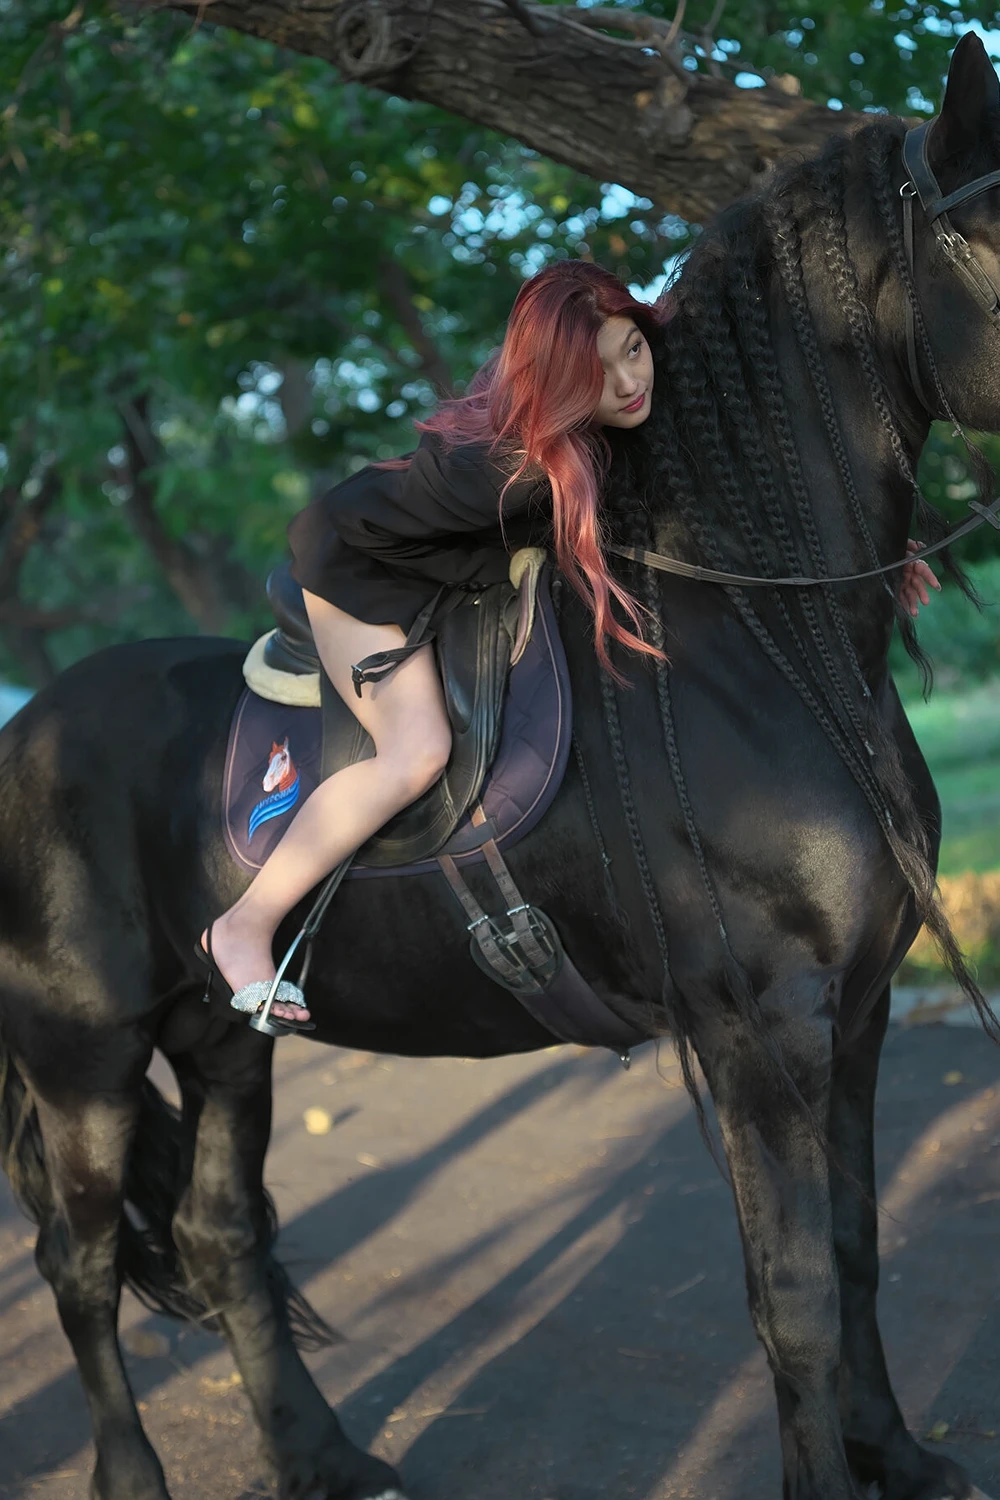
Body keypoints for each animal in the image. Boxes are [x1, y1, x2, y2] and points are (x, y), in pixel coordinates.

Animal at [2, 30, 1000, 1500]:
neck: (755, 638)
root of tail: (24, 731)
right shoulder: (762, 1028)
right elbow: (799, 1295)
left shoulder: (857, 1012)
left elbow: (858, 1249)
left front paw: (897, 1457)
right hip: (85, 1058)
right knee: (78, 1267)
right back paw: (140, 1479)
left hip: (222, 1045)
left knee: (222, 1234)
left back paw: (325, 1455)